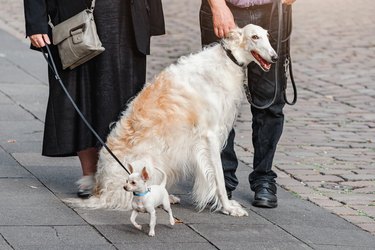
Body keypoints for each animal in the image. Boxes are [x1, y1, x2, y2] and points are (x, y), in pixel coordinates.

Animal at [72, 24, 278, 217]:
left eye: (268, 36)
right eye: (255, 36)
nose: (275, 57)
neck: (227, 59)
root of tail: (101, 190)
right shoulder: (210, 135)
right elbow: (219, 178)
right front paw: (228, 207)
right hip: (147, 163)